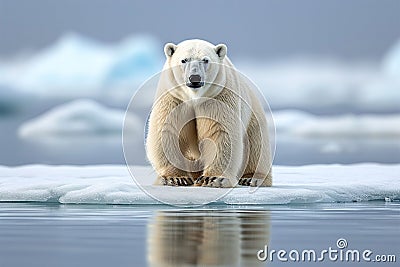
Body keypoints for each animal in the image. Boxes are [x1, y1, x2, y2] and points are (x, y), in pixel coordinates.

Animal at [145, 39, 274, 188]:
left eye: (205, 60)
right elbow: (167, 131)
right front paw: (175, 178)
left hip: (254, 119)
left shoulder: (218, 97)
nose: (195, 78)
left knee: (257, 148)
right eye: (184, 60)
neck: (195, 97)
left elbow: (220, 132)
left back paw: (251, 178)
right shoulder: (173, 98)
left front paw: (212, 178)